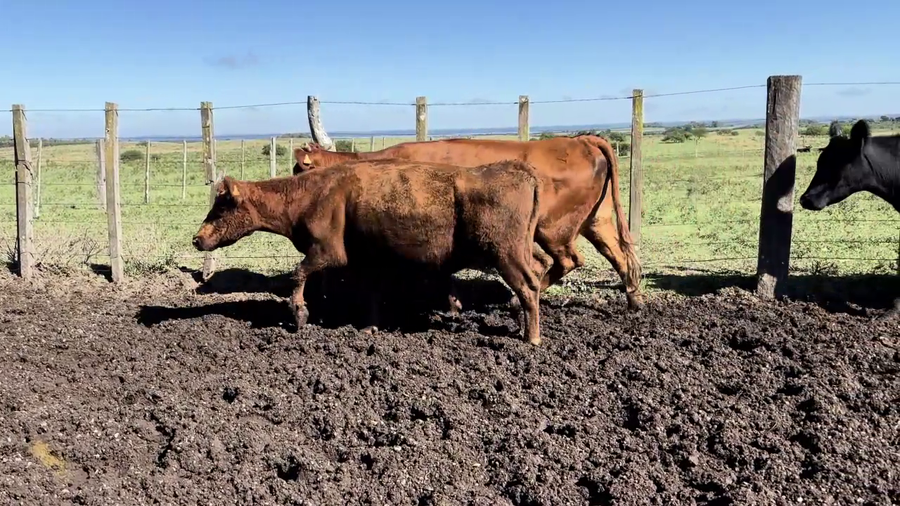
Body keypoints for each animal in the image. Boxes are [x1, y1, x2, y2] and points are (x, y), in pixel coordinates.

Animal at [192, 160, 547, 345]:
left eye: (221, 207)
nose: (196, 239)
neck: (312, 196)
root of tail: (517, 169)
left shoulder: (327, 252)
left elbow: (297, 274)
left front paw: (300, 314)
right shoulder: (364, 261)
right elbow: (370, 293)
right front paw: (368, 326)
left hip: (506, 253)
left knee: (529, 286)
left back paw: (531, 337)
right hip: (523, 250)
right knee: (539, 271)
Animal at [291, 135, 643, 310]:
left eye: (298, 172)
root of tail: (579, 140)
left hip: (553, 229)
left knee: (569, 259)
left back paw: (518, 298)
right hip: (597, 220)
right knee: (620, 256)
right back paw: (634, 300)